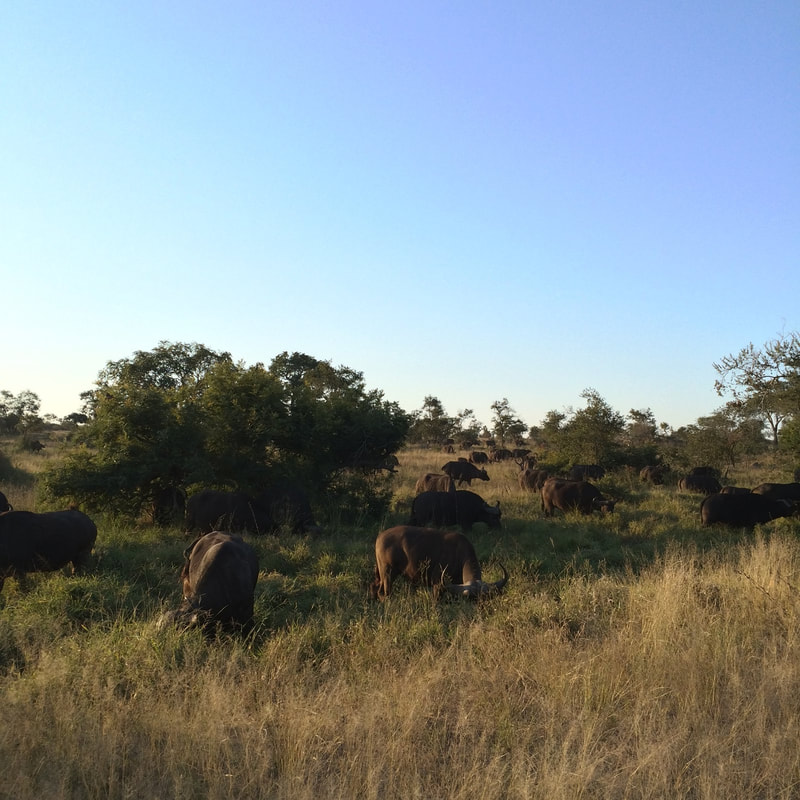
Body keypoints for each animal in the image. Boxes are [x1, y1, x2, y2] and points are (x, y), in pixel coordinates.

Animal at [370, 525, 508, 600]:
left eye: (485, 598)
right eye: (472, 599)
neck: (459, 555)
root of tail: (380, 536)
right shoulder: (438, 585)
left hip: (380, 575)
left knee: (374, 586)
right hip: (387, 573)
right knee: (384, 592)